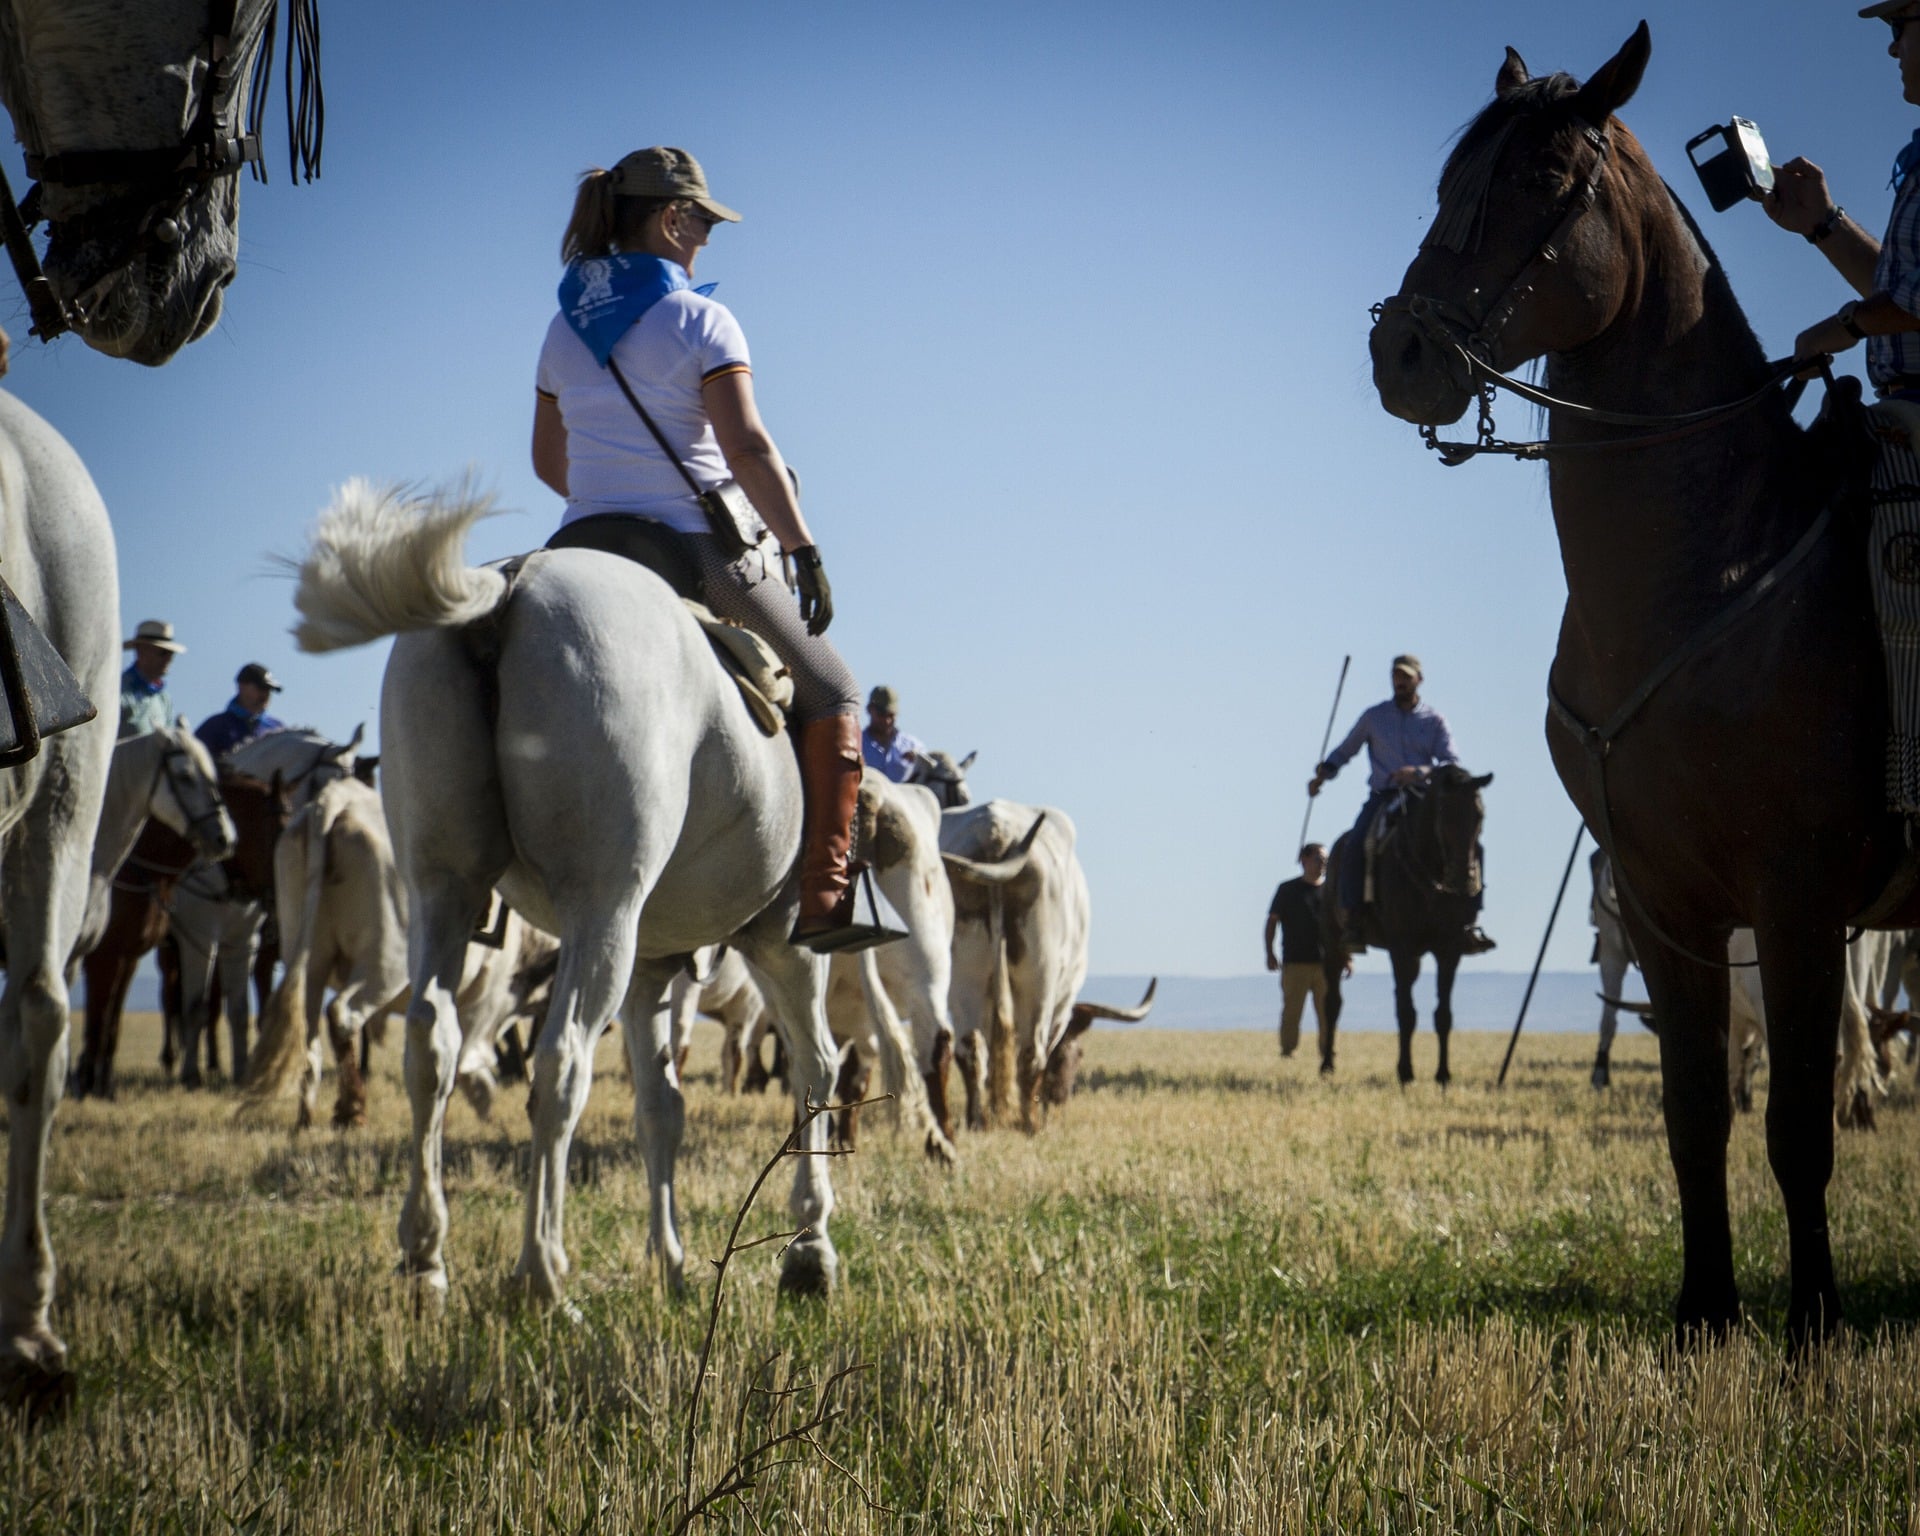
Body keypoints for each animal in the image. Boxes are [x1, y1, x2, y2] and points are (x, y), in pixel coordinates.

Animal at [286, 485, 848, 1305]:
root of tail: (508, 589)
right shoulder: (783, 942)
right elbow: (814, 1073)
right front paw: (809, 1247)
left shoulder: (653, 964)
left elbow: (661, 1108)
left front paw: (671, 1265)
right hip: (602, 915)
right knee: (560, 1064)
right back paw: (543, 1276)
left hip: (445, 891)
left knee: (431, 1043)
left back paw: (426, 1257)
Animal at [1374, 24, 1896, 1344]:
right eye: (1450, 177)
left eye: (1545, 180)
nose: (1399, 351)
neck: (1717, 558)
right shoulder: (1666, 903)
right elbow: (1694, 1111)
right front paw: (1706, 1312)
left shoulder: (1798, 895)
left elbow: (1796, 1125)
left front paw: (1815, 1324)